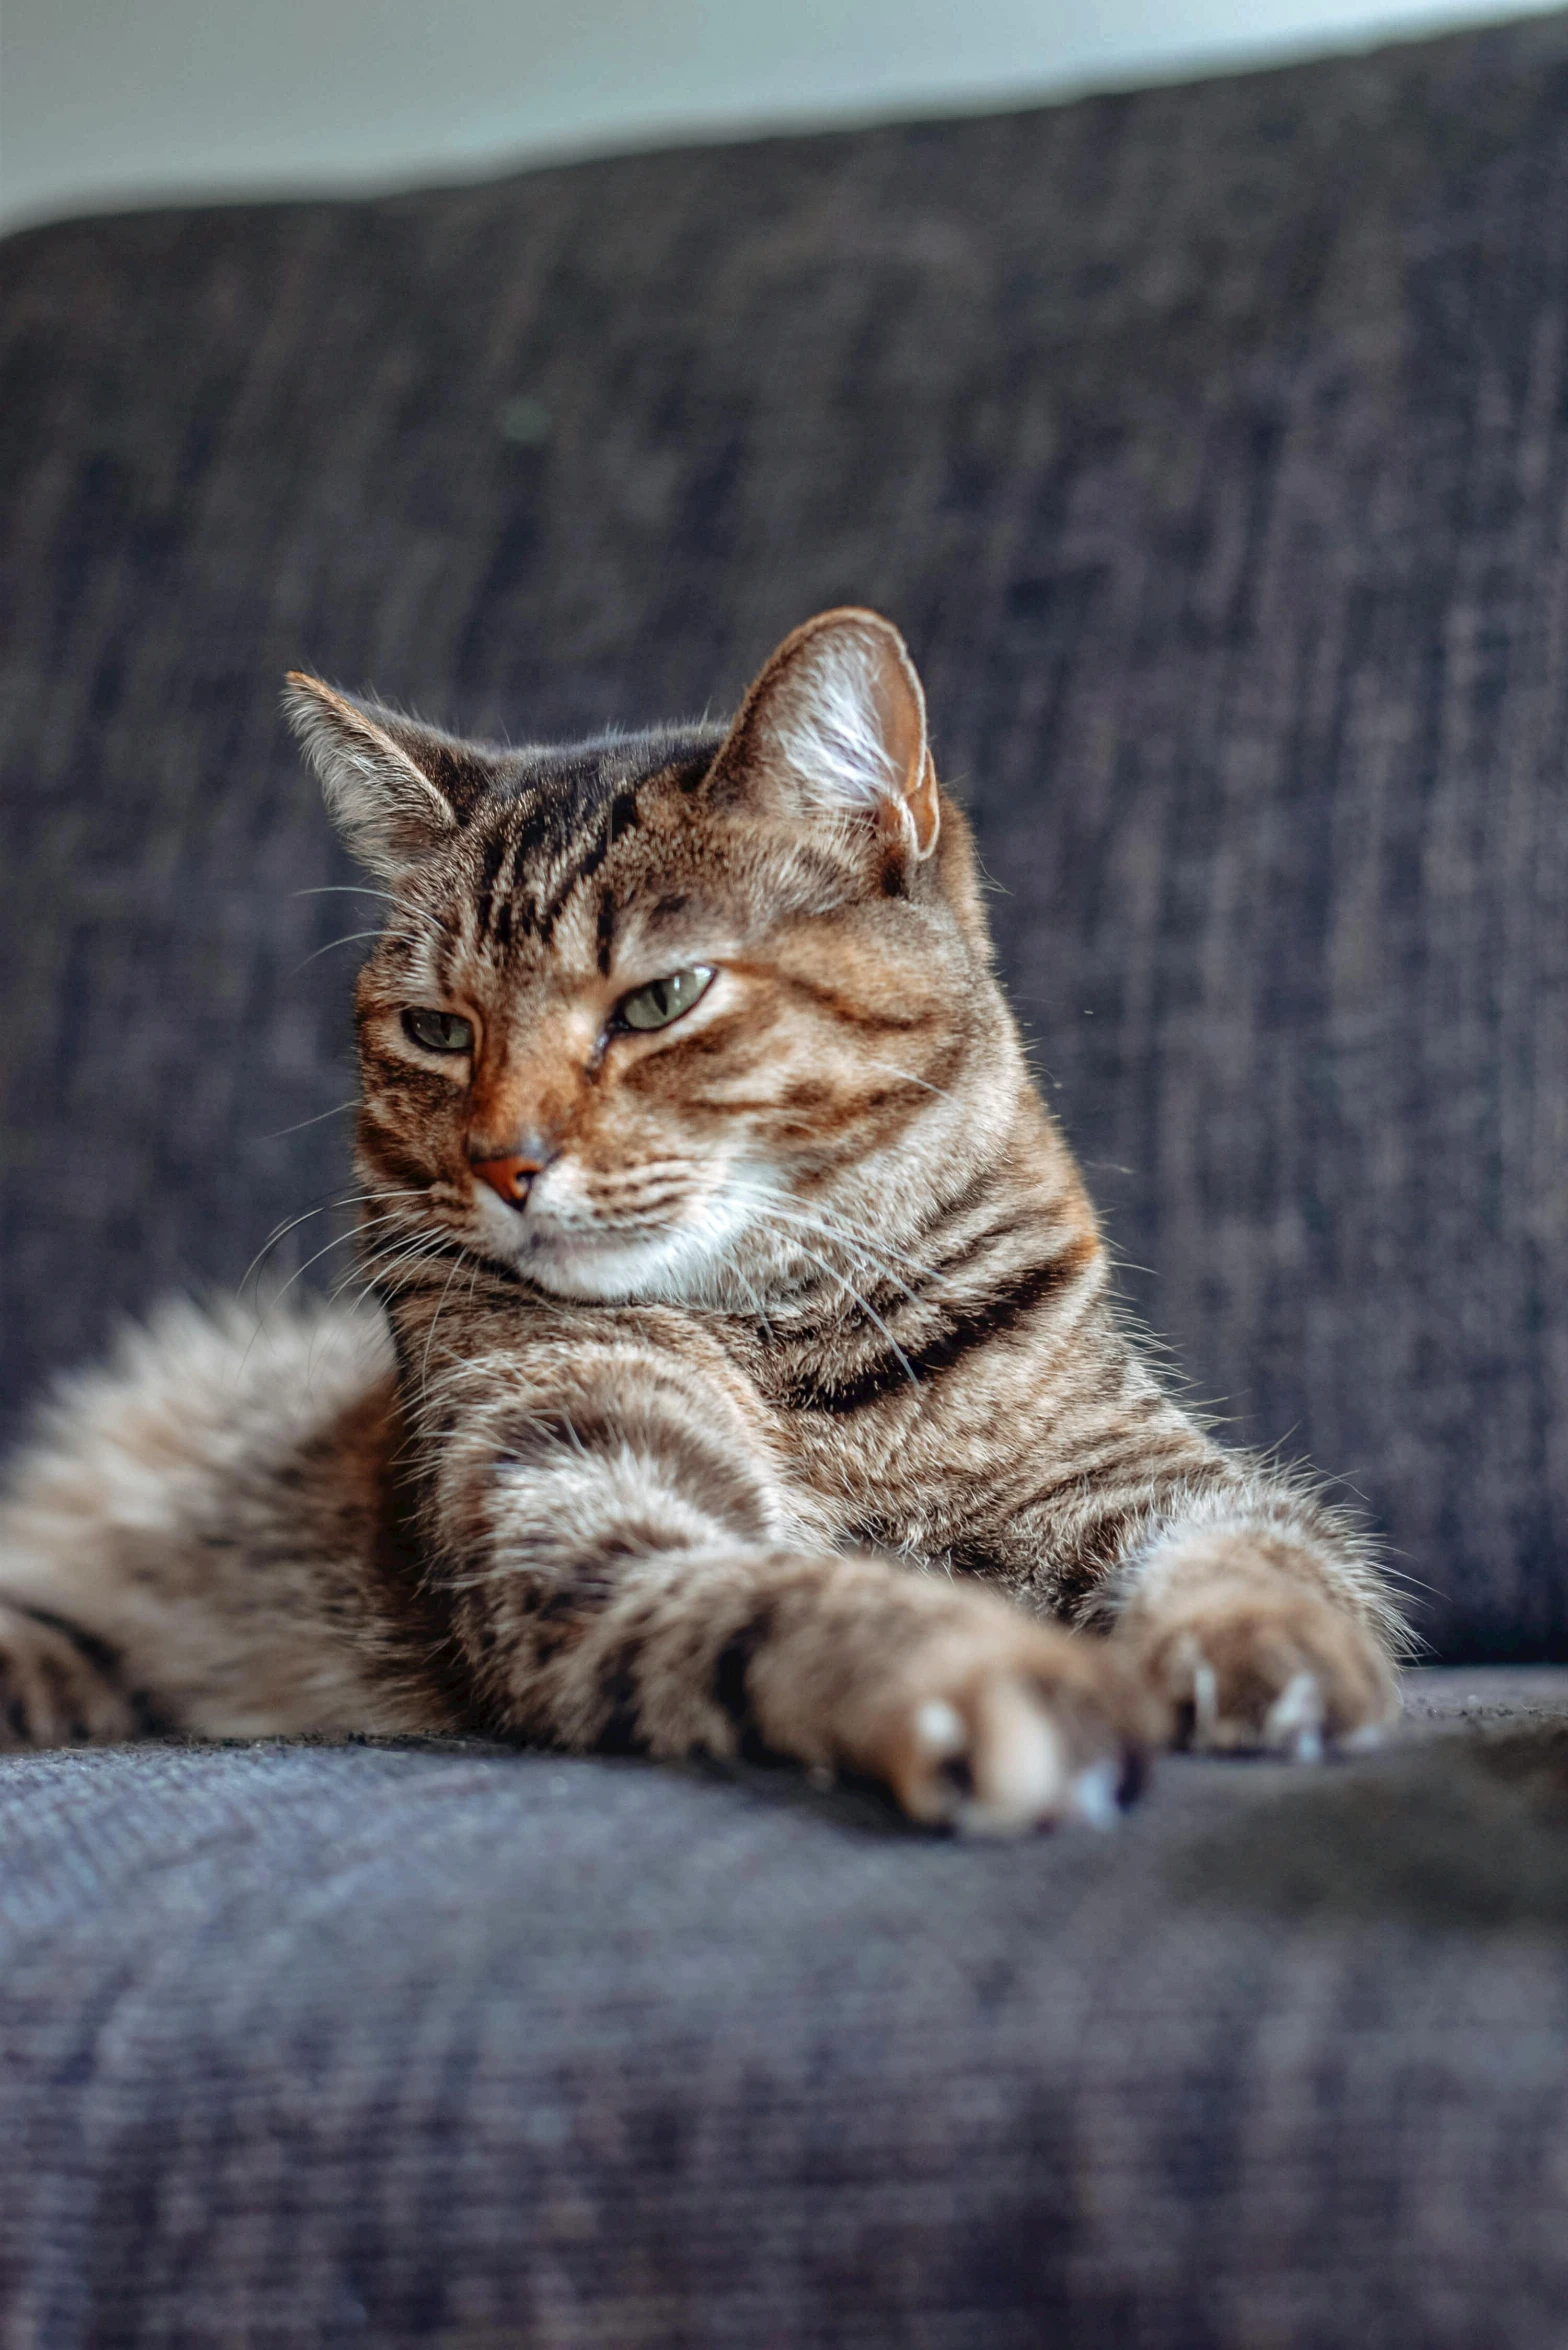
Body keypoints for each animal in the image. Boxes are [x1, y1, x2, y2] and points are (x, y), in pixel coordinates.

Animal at [0, 611, 1401, 1832]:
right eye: (438, 1028)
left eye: (658, 1001)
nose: (502, 1162)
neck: (794, 1332)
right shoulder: (568, 1507)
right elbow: (775, 1595)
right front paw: (974, 1670)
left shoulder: (1132, 1470)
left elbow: (1257, 1544)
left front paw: (1260, 1646)